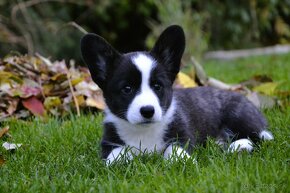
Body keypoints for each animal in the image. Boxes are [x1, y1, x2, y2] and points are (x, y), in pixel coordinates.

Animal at [80, 24, 274, 165]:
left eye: (157, 86)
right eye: (127, 89)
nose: (148, 111)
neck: (144, 131)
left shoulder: (182, 135)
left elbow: (173, 149)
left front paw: (181, 161)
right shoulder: (109, 143)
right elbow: (116, 155)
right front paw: (122, 160)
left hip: (238, 114)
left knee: (262, 137)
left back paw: (239, 145)